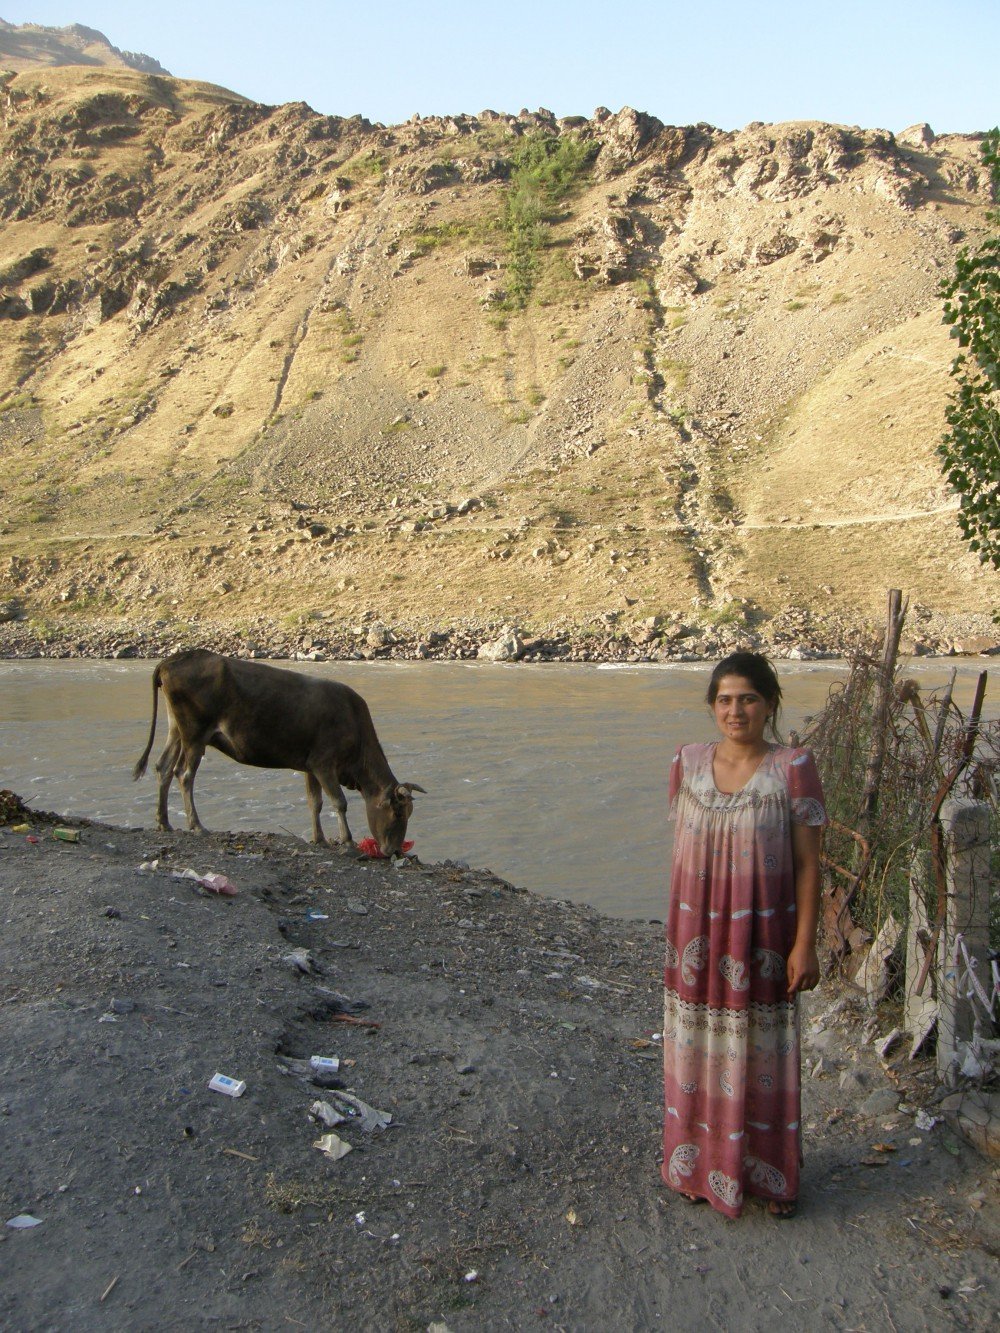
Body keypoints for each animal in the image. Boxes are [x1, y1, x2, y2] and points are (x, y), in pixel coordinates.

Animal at [132, 653, 424, 858]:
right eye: (399, 813)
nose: (394, 851)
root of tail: (173, 660)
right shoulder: (324, 763)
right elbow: (338, 802)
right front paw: (348, 842)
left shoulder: (310, 765)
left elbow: (315, 802)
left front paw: (320, 839)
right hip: (195, 734)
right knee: (184, 774)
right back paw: (196, 825)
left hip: (176, 728)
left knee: (163, 767)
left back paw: (164, 822)